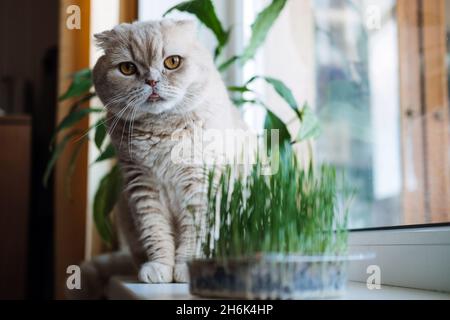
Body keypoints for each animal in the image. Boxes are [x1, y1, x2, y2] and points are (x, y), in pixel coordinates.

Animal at [68, 18, 248, 298]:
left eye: (172, 62)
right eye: (127, 68)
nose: (151, 81)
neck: (161, 131)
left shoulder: (199, 185)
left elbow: (195, 232)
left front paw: (186, 269)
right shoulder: (142, 186)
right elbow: (155, 231)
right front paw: (160, 268)